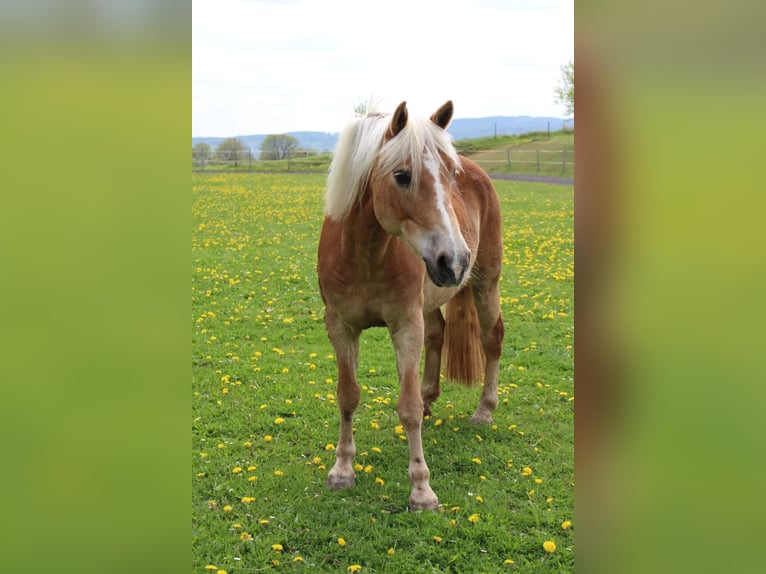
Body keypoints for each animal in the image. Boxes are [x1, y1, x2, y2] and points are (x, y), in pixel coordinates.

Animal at [316, 101, 504, 510]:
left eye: (451, 175)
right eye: (402, 176)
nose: (455, 261)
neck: (366, 255)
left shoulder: (405, 325)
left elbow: (408, 406)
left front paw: (421, 488)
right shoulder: (340, 326)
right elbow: (347, 395)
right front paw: (342, 470)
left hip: (486, 283)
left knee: (492, 338)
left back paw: (484, 410)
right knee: (438, 335)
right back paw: (433, 397)